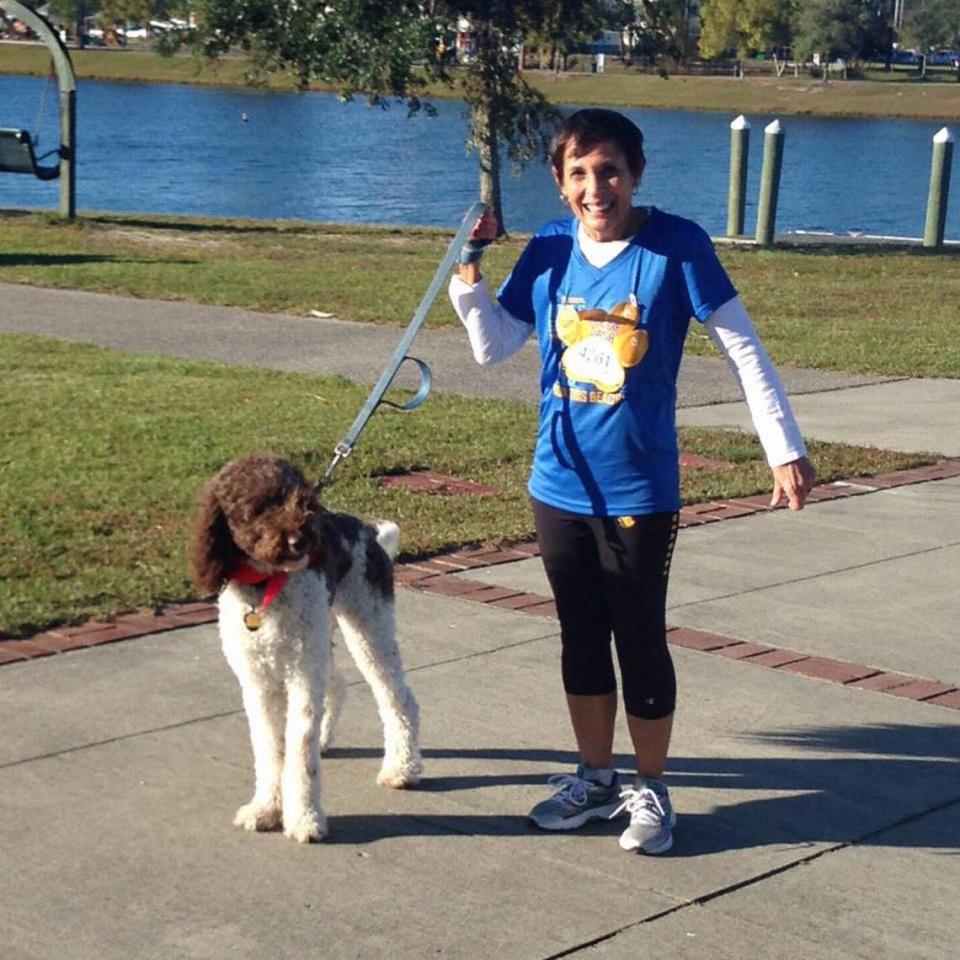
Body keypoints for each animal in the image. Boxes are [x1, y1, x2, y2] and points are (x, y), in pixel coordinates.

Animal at [189, 454, 422, 844]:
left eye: (301, 500)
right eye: (258, 507)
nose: (302, 540)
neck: (266, 587)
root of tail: (368, 531)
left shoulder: (300, 678)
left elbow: (299, 751)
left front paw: (305, 819)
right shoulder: (259, 684)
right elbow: (270, 749)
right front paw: (265, 809)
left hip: (367, 629)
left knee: (399, 699)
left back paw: (401, 768)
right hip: (321, 639)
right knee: (338, 684)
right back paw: (328, 740)